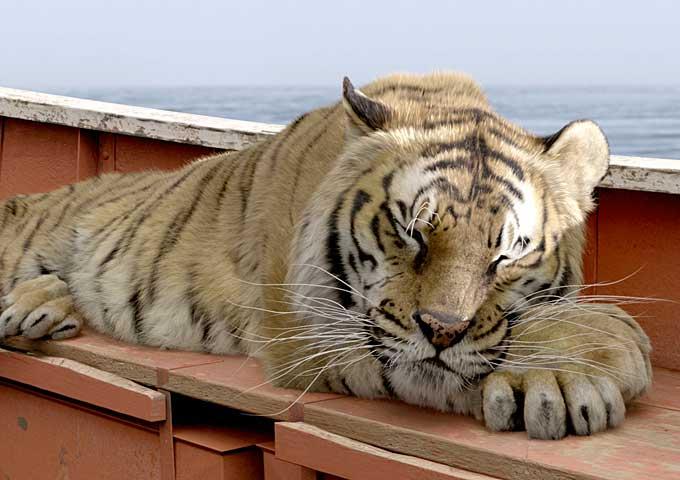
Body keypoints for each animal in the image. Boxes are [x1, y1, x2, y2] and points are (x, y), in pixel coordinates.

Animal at [0, 72, 652, 438]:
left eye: (509, 254)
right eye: (412, 231)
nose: (443, 330)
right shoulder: (307, 338)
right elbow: (432, 369)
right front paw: (584, 365)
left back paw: (40, 307)